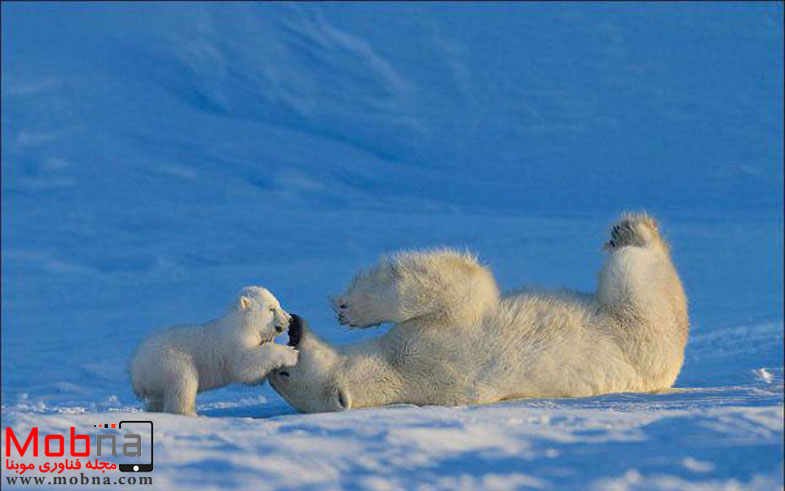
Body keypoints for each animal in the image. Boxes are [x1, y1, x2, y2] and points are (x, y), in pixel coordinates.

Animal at [132, 286, 298, 418]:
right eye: (271, 308)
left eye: (278, 304)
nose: (290, 318)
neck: (242, 324)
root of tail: (135, 370)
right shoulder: (235, 342)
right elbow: (245, 367)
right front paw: (292, 353)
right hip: (167, 361)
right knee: (183, 381)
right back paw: (190, 414)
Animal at [270, 213, 688, 414]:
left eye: (283, 373)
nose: (294, 326)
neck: (397, 376)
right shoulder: (432, 351)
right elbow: (462, 288)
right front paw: (351, 308)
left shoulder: (428, 346)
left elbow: (458, 290)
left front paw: (350, 308)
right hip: (640, 329)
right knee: (635, 277)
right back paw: (634, 232)